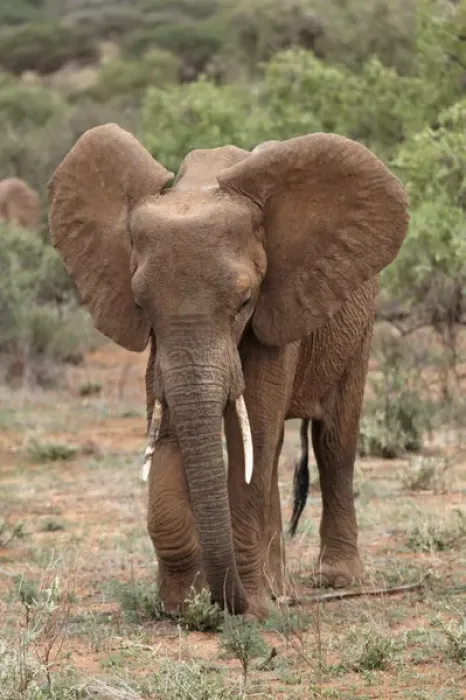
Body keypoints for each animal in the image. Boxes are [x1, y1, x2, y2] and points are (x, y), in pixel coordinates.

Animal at [47, 124, 409, 619]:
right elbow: (175, 426)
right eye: (141, 303)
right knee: (274, 452)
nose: (224, 602)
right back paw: (280, 587)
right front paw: (183, 607)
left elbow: (253, 423)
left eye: (244, 301)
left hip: (361, 323)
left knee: (332, 440)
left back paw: (334, 580)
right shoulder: (160, 346)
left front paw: (250, 609)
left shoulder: (279, 304)